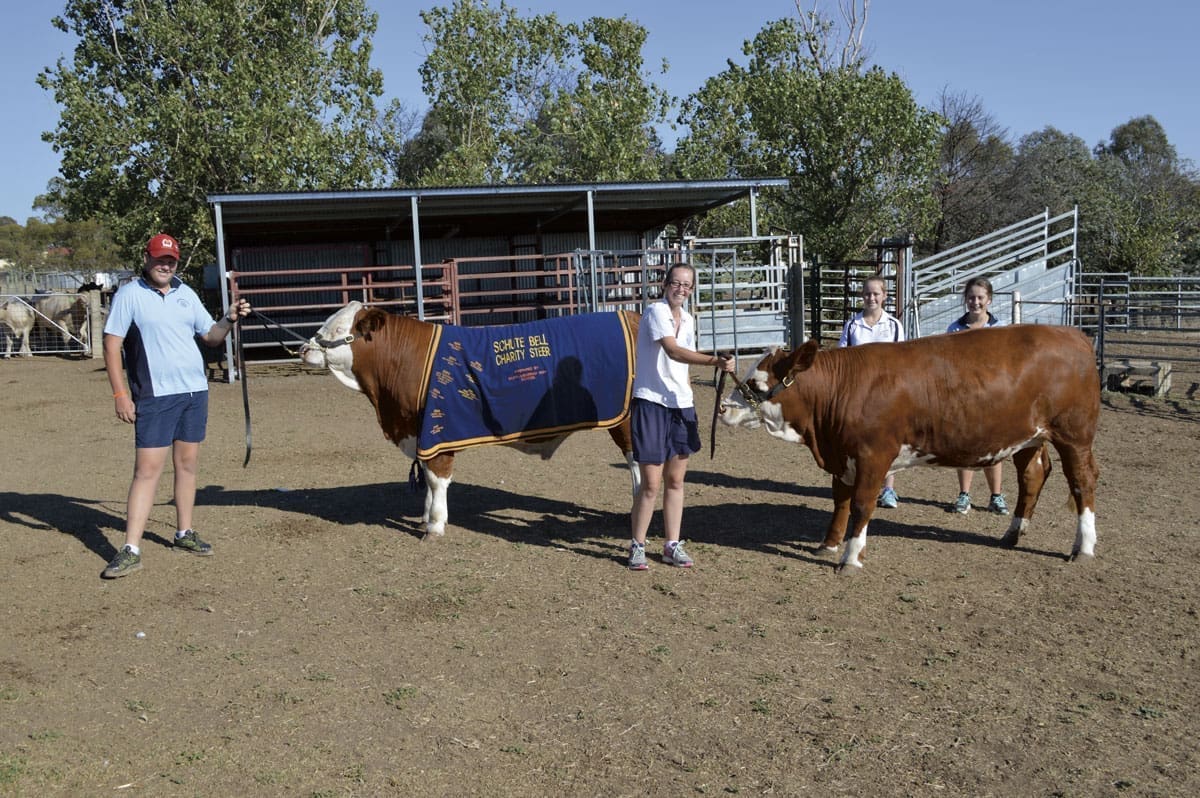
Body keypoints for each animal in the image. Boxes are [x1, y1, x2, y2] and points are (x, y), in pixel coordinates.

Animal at [715, 326, 1099, 573]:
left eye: (756, 383)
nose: (722, 409)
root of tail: (1074, 335)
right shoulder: (843, 456)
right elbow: (840, 501)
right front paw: (829, 544)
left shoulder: (873, 455)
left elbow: (862, 504)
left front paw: (851, 558)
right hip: (1028, 438)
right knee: (1032, 477)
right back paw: (1013, 534)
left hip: (1074, 436)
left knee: (1082, 482)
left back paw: (1084, 547)